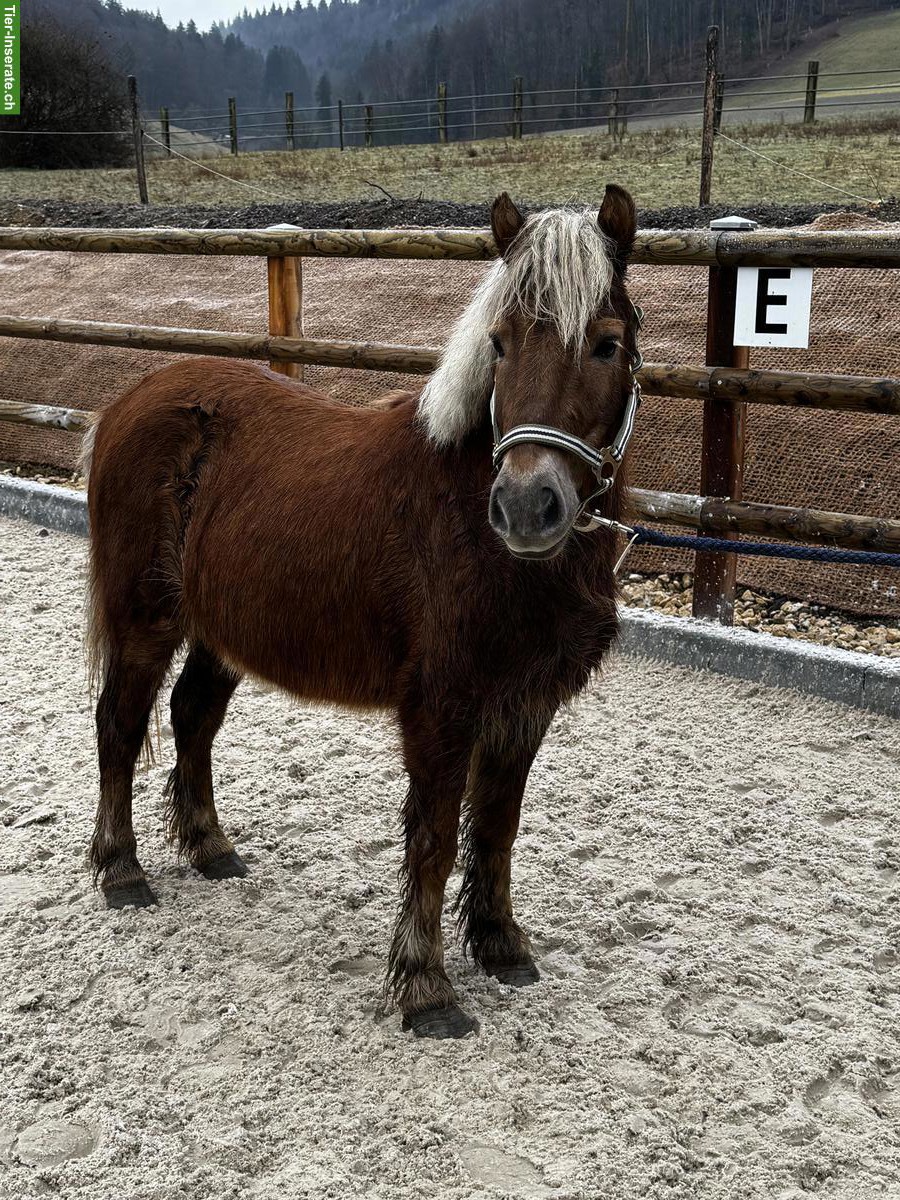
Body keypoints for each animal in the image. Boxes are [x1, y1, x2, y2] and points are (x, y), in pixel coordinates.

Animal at [84, 185, 642, 1039]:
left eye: (608, 345)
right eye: (500, 344)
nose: (525, 507)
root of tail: (130, 400)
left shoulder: (525, 705)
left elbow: (498, 825)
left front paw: (501, 945)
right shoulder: (442, 707)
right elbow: (435, 837)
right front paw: (426, 987)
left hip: (221, 630)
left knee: (192, 717)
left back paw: (211, 849)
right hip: (145, 620)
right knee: (119, 723)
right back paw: (121, 871)